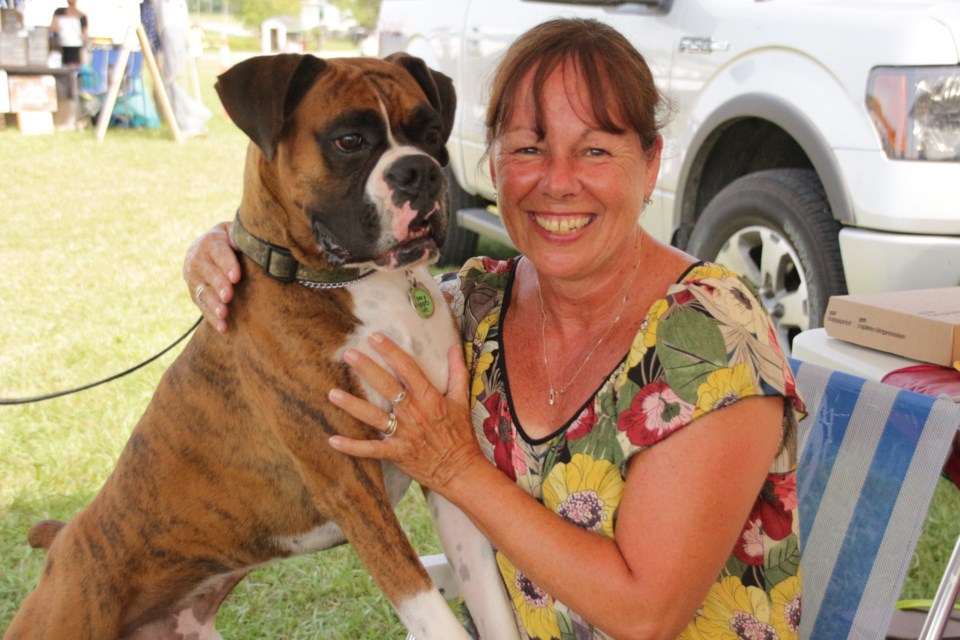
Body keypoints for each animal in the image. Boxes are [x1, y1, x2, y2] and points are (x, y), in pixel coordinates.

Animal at [3, 53, 516, 640]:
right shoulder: (352, 486)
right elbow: (427, 605)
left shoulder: (443, 464)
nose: (421, 171)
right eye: (349, 141)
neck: (360, 284)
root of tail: (66, 537)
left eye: (432, 134)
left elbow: (490, 602)